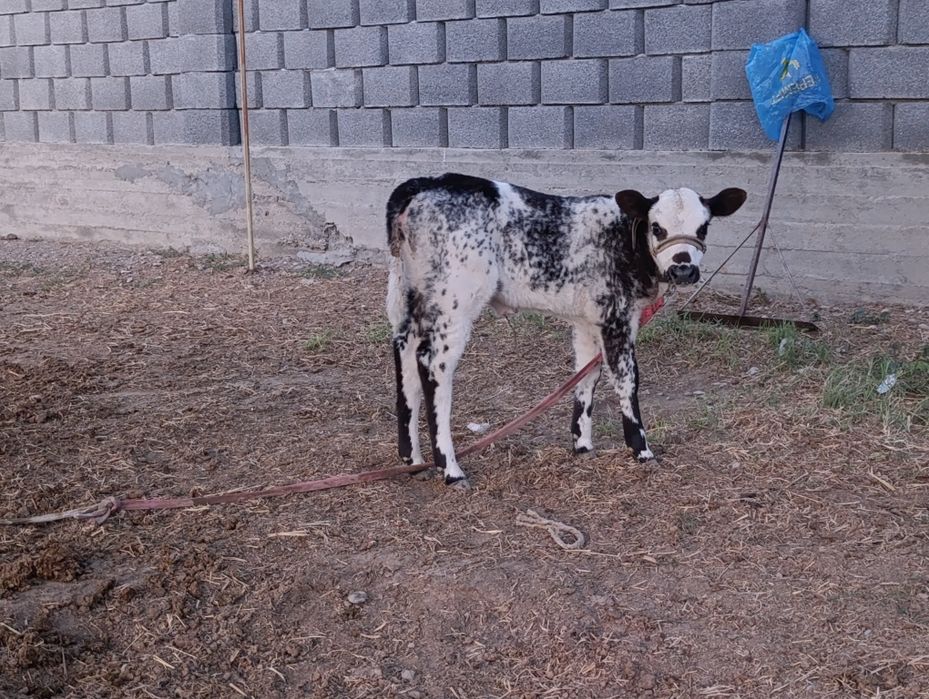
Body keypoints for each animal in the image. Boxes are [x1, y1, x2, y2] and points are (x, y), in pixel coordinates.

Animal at [385, 173, 747, 489]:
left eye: (703, 227)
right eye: (657, 228)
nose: (683, 269)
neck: (622, 239)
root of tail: (426, 184)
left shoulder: (588, 321)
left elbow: (587, 374)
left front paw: (582, 444)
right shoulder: (617, 319)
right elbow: (627, 379)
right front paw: (641, 449)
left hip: (413, 298)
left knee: (405, 352)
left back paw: (412, 459)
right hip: (455, 304)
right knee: (433, 365)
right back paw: (450, 469)